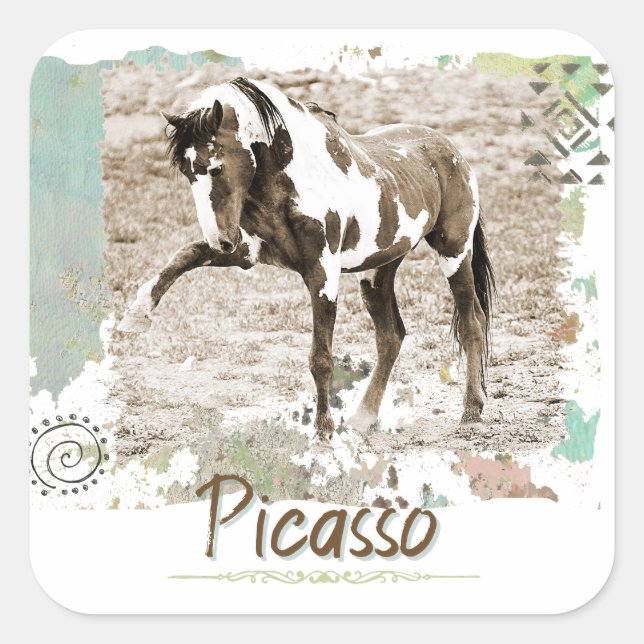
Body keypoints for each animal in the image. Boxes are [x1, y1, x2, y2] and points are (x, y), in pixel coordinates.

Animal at [118, 77, 495, 440]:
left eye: (214, 168)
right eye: (185, 171)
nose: (220, 239)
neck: (293, 183)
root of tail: (453, 153)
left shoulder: (321, 274)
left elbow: (321, 359)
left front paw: (322, 430)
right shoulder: (246, 251)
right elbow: (185, 255)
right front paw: (137, 314)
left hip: (454, 251)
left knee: (471, 322)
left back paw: (471, 410)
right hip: (378, 270)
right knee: (391, 337)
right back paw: (364, 416)